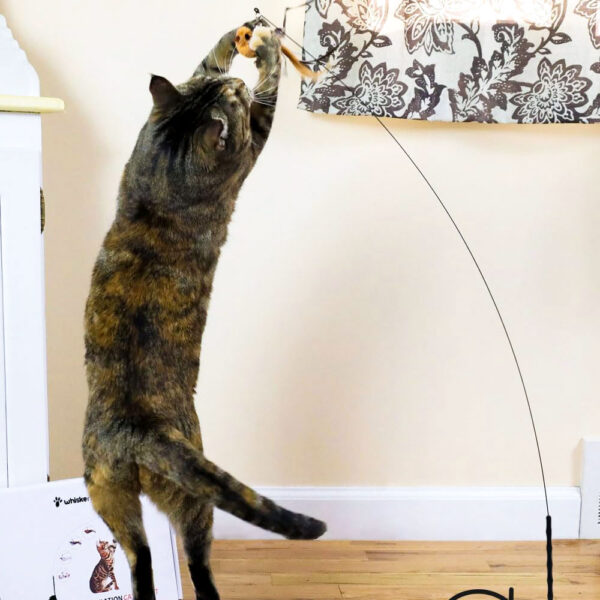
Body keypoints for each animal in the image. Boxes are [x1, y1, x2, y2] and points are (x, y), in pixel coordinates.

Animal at [82, 21, 326, 600]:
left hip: (107, 496)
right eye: (232, 102)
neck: (166, 173)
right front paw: (266, 53)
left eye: (220, 92)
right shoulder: (251, 144)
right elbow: (269, 96)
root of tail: (136, 432)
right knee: (197, 561)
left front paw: (239, 37)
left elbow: (203, 60)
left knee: (139, 557)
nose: (234, 88)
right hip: (193, 499)